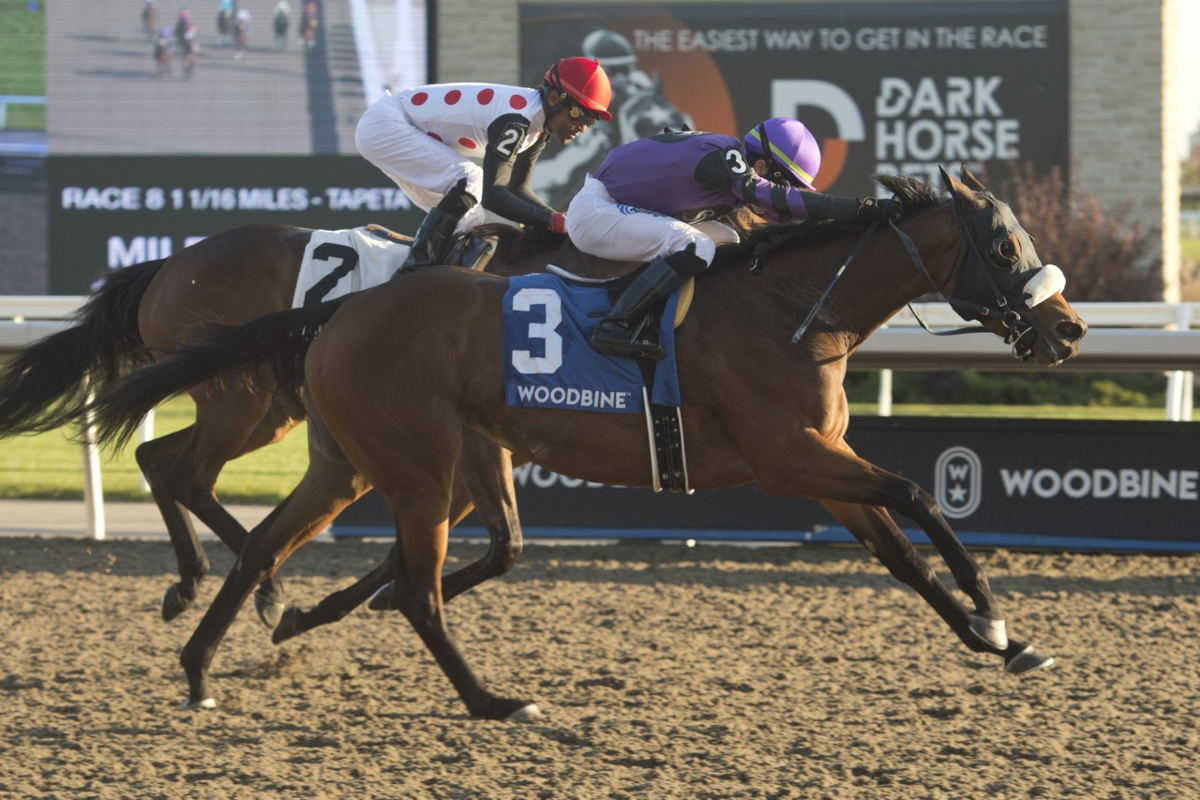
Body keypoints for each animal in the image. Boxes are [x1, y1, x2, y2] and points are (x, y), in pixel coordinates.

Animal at [84, 169, 1089, 719]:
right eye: (1003, 244)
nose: (1069, 330)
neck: (792, 306)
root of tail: (341, 308)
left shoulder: (822, 471)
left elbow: (903, 556)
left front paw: (1000, 640)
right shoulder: (789, 456)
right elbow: (919, 497)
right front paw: (996, 619)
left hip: (365, 460)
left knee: (265, 542)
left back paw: (213, 659)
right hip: (409, 464)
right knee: (414, 589)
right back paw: (493, 701)